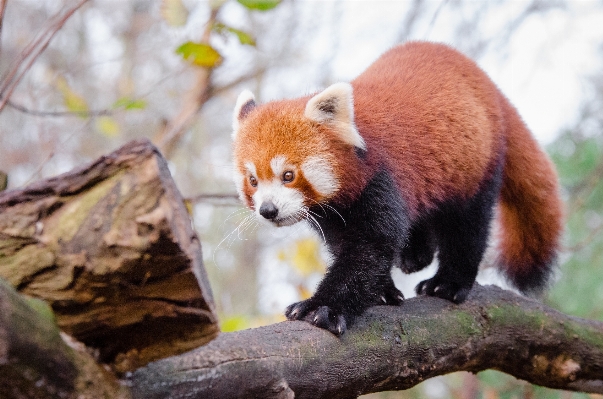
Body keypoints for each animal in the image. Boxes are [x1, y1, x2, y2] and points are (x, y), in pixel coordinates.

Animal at [232, 40, 568, 336]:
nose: (268, 210)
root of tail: (484, 82)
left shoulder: (380, 180)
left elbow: (370, 248)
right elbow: (351, 247)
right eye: (253, 180)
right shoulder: (332, 214)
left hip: (474, 164)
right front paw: (383, 291)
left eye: (288, 175)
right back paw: (415, 254)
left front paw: (323, 308)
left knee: (467, 226)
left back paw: (449, 282)